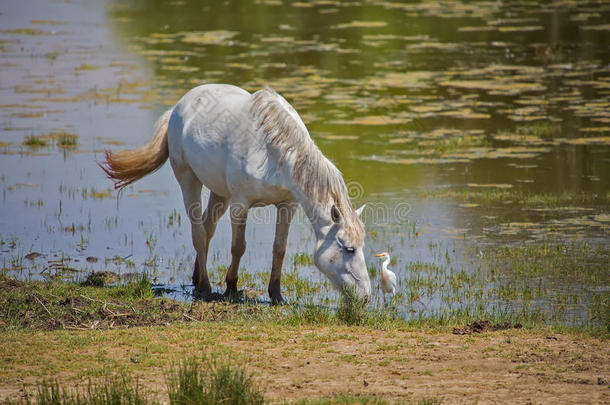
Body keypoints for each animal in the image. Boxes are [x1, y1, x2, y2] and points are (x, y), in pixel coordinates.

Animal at [101, 83, 368, 302]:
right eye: (348, 249)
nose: (365, 296)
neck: (273, 153)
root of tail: (178, 107)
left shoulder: (287, 205)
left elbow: (279, 248)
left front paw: (276, 295)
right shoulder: (240, 205)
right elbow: (238, 246)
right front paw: (231, 288)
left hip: (220, 193)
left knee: (207, 228)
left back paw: (197, 278)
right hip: (189, 180)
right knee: (198, 232)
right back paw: (205, 287)